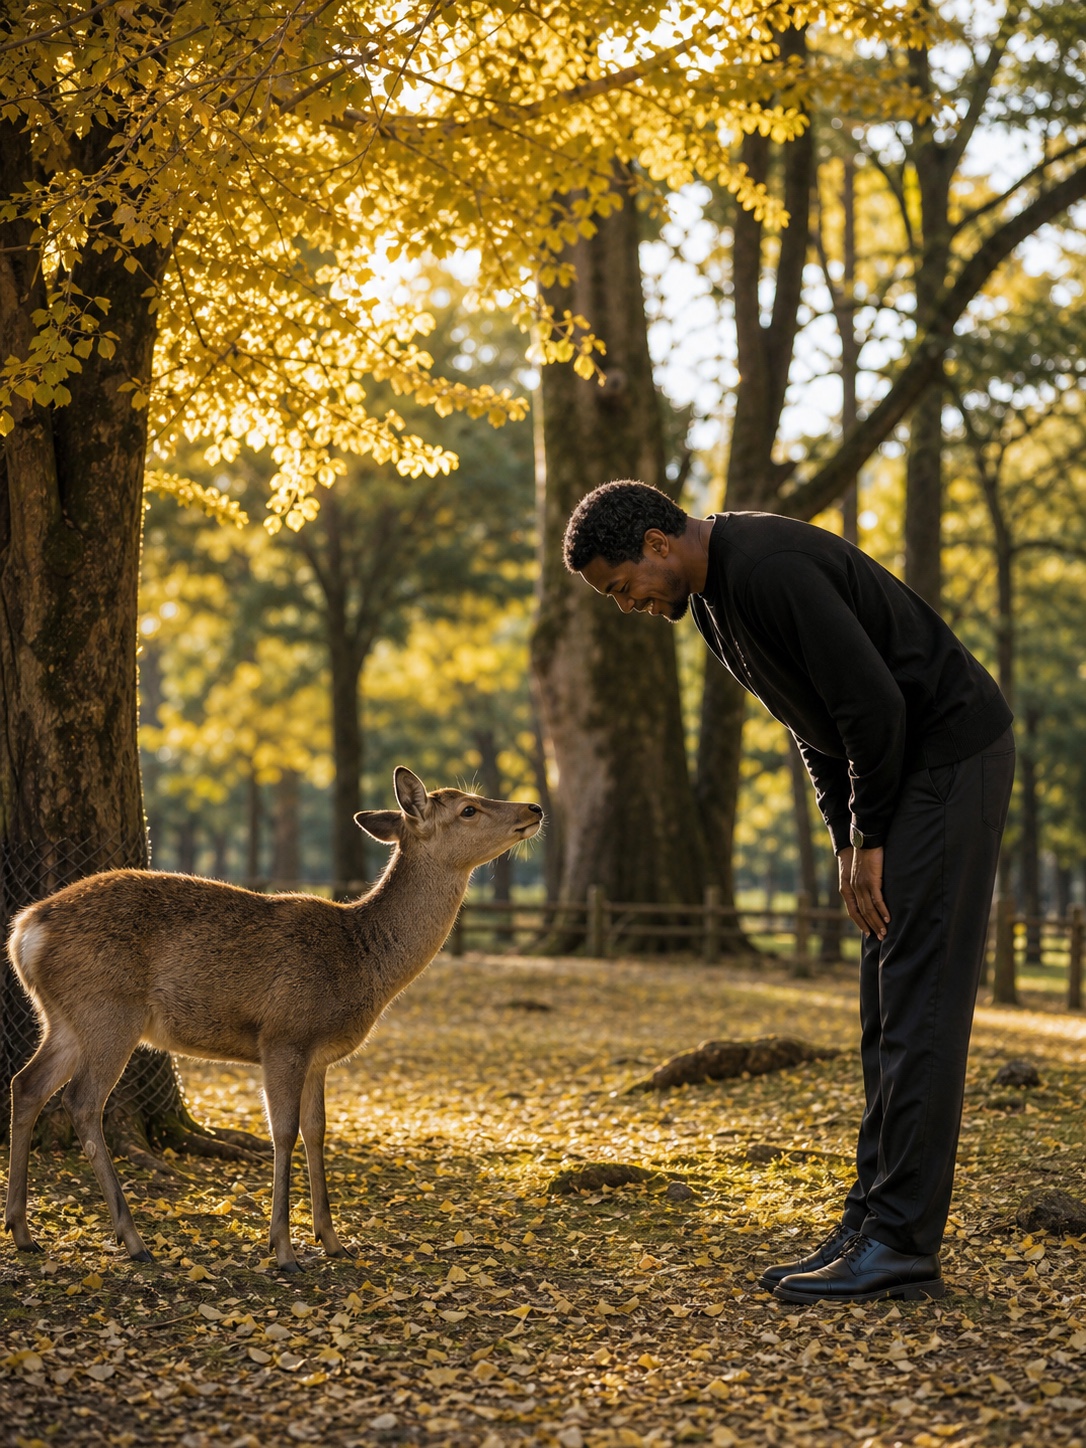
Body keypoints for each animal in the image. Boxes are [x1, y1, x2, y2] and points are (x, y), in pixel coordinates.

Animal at [5, 768, 542, 1271]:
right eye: (469, 809)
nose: (534, 808)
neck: (363, 960)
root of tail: (26, 930)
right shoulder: (284, 1035)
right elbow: (282, 1132)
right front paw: (283, 1250)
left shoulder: (320, 1055)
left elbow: (316, 1131)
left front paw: (333, 1241)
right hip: (108, 1010)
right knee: (81, 1101)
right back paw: (133, 1240)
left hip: (64, 1018)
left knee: (27, 1083)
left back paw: (22, 1231)